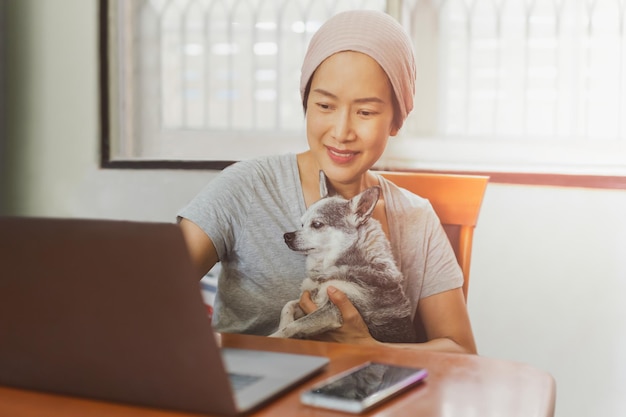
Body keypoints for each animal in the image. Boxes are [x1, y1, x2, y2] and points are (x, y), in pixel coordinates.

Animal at [266, 171, 414, 342]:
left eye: (317, 224)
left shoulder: (333, 311)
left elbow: (295, 325)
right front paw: (283, 323)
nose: (287, 236)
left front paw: (275, 336)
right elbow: (288, 306)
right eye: (302, 224)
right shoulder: (311, 299)